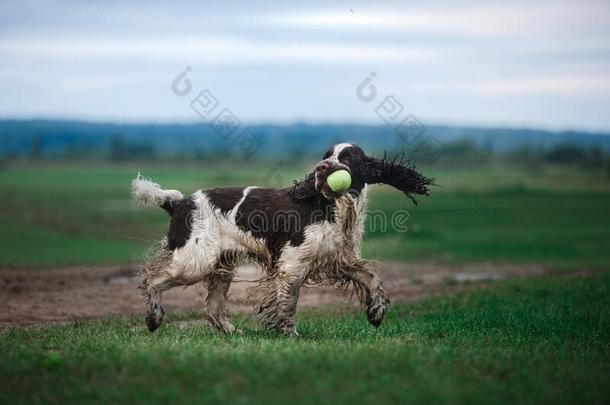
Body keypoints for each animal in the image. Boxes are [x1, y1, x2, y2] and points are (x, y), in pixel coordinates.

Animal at [131, 143, 430, 334]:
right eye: (326, 156)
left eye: (346, 157)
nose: (322, 168)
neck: (331, 206)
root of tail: (179, 203)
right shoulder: (291, 265)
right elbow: (287, 304)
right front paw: (288, 334)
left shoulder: (338, 259)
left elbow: (372, 276)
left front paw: (376, 312)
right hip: (196, 261)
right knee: (153, 279)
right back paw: (154, 318)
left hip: (221, 267)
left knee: (212, 308)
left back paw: (233, 332)